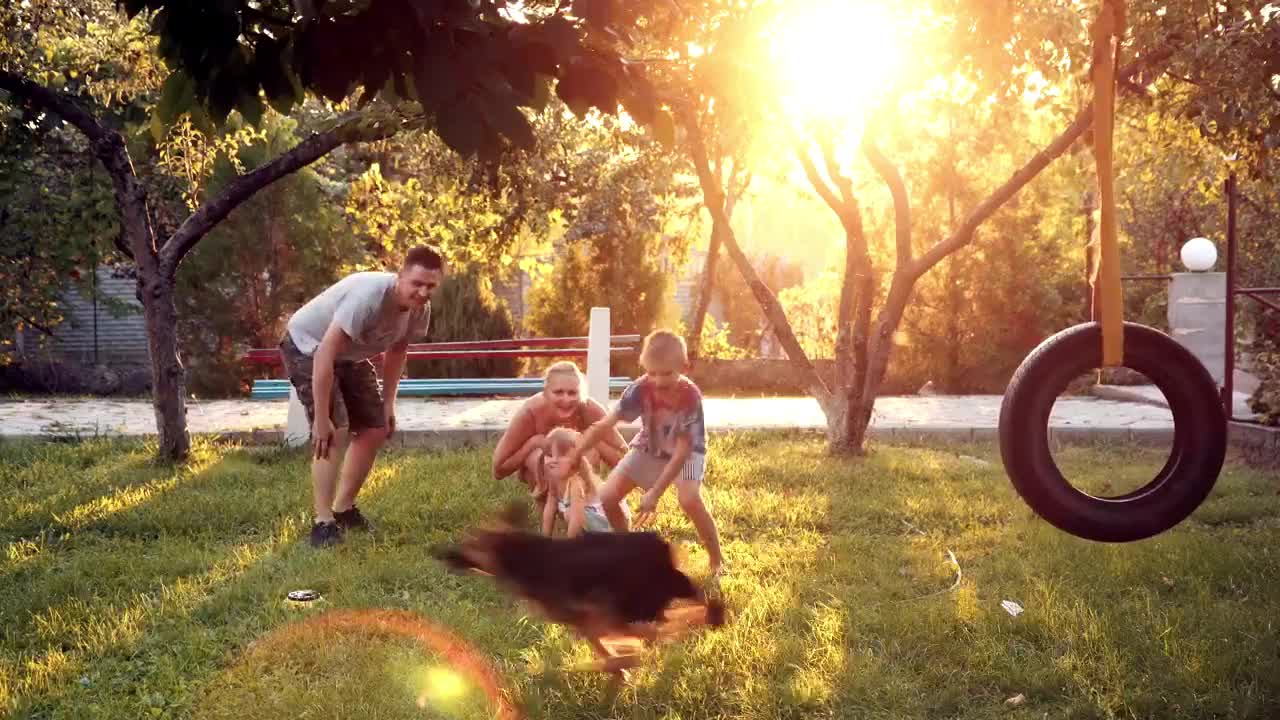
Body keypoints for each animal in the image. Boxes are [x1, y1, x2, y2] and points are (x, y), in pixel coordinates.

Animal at [435, 502, 727, 676]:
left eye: (472, 543)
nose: (443, 554)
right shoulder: (592, 621)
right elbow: (615, 649)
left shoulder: (600, 616)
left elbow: (625, 645)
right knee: (696, 605)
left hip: (649, 598)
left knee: (694, 607)